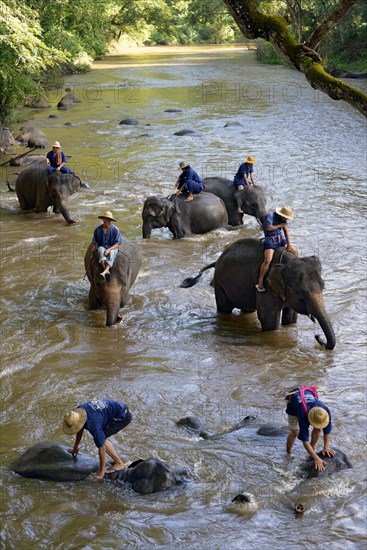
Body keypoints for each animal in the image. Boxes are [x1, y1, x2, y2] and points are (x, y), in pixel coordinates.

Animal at [180, 237, 336, 350]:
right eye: (301, 296)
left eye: (323, 288)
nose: (317, 337)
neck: (286, 263)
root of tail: (217, 260)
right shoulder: (265, 287)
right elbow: (269, 321)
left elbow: (291, 319)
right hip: (220, 283)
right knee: (224, 309)